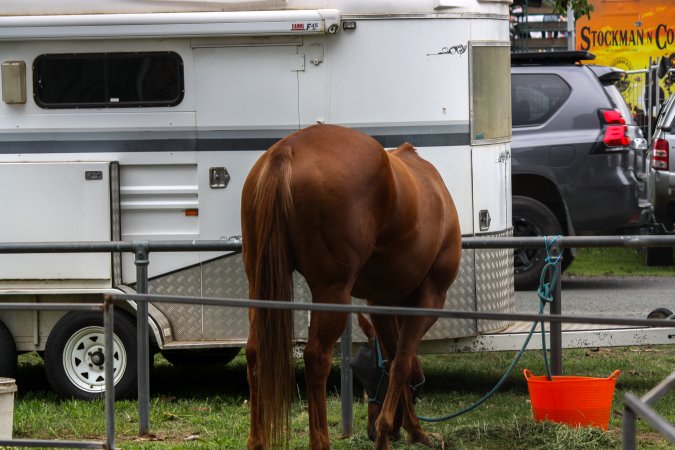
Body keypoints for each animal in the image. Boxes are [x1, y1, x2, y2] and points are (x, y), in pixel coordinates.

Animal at [241, 124, 461, 450]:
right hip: (332, 292)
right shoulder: (430, 300)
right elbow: (402, 363)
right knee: (316, 358)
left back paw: (257, 441)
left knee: (256, 352)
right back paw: (320, 441)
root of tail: (288, 148)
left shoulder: (381, 303)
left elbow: (394, 360)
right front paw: (399, 432)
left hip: (258, 284)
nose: (370, 429)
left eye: (364, 372)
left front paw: (406, 428)